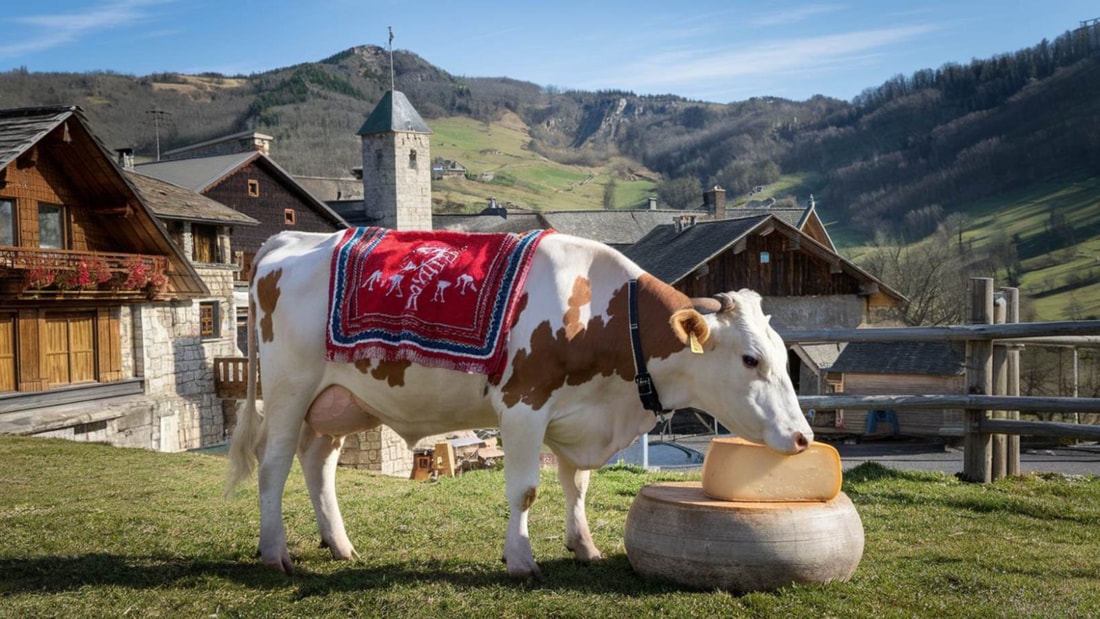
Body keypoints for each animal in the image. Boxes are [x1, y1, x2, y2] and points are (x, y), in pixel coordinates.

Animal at [223, 229, 814, 580]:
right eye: (750, 359)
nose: (804, 438)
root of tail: (288, 240)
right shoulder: (523, 407)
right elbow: (525, 491)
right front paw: (522, 559)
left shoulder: (579, 415)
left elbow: (577, 486)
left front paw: (584, 546)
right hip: (288, 391)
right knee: (274, 466)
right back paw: (275, 552)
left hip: (337, 402)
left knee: (317, 463)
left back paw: (339, 545)